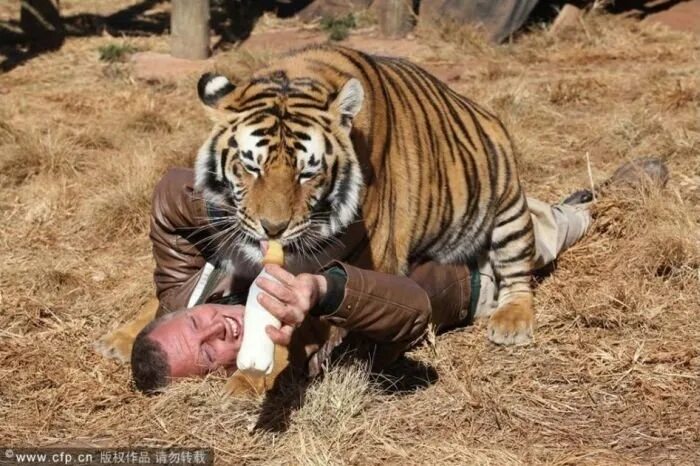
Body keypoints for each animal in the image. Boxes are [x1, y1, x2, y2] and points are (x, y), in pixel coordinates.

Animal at [195, 44, 535, 346]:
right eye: (251, 166)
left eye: (307, 173)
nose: (273, 228)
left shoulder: (378, 257)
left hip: (509, 208)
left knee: (518, 270)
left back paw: (511, 322)